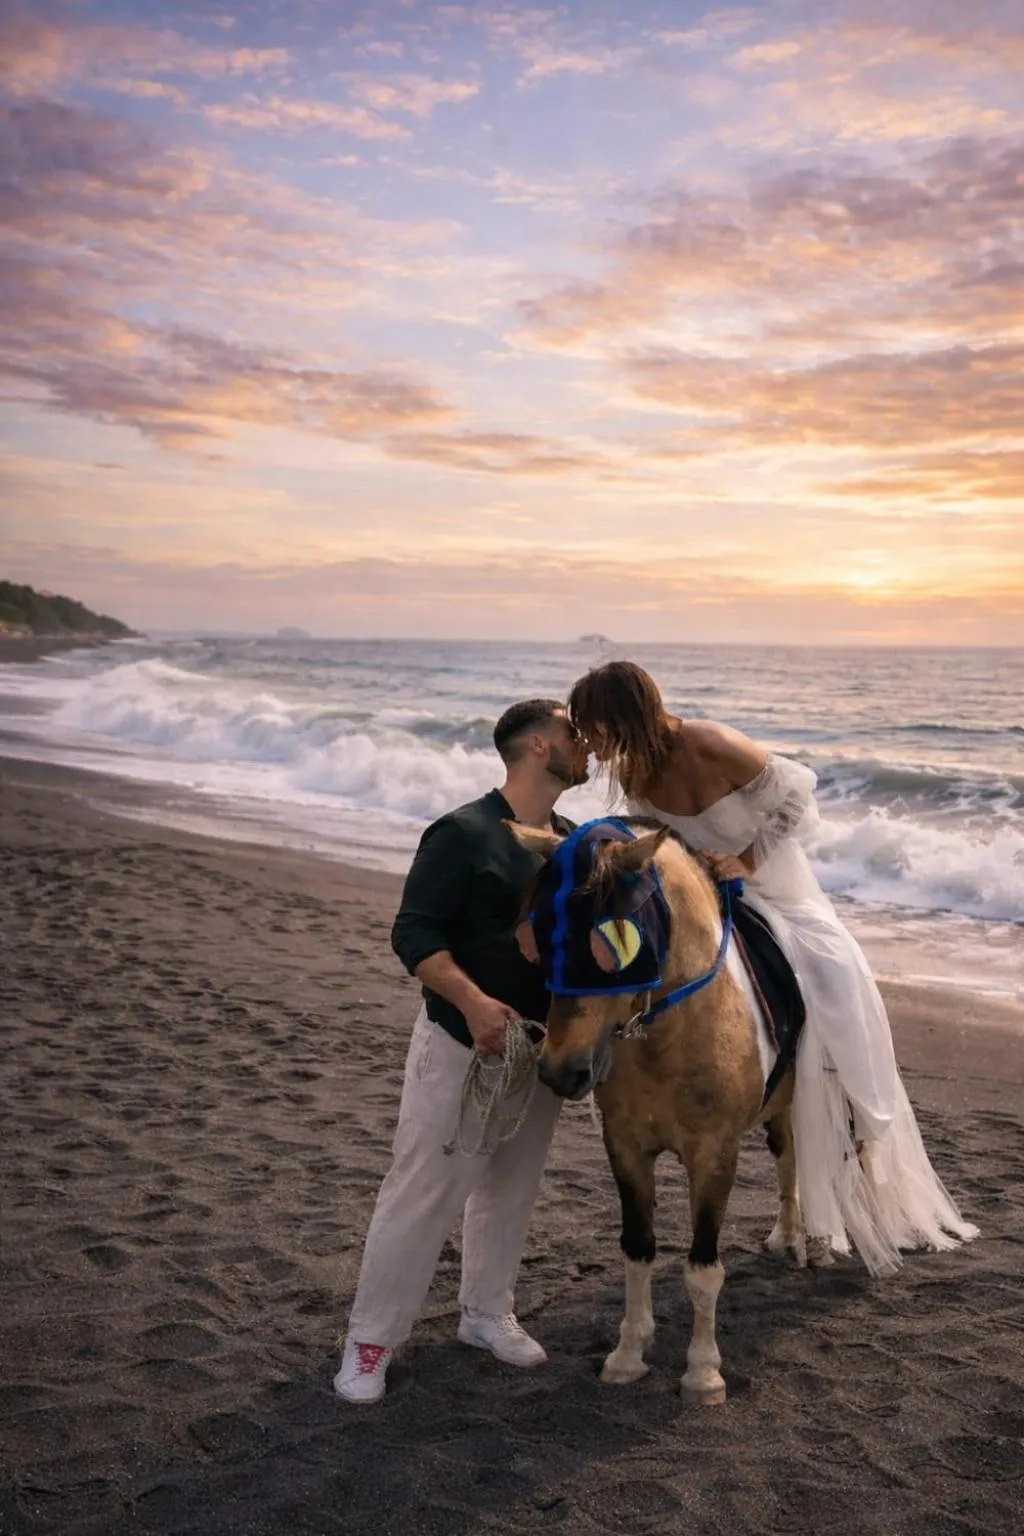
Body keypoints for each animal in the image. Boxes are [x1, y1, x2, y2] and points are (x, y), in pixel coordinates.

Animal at [507, 815, 811, 1405]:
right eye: (538, 930)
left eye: (616, 941)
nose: (560, 1070)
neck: (671, 1035)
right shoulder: (626, 1147)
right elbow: (638, 1249)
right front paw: (628, 1354)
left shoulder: (714, 1156)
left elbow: (702, 1267)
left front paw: (703, 1372)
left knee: (792, 1160)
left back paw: (798, 1238)